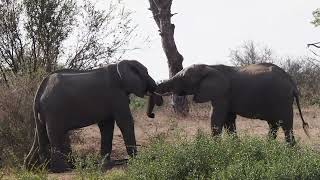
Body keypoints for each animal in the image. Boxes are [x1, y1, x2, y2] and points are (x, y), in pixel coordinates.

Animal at [24, 59, 162, 172]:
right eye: (146, 73)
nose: (152, 115)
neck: (119, 66)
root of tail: (40, 90)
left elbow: (107, 125)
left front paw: (106, 164)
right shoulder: (116, 94)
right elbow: (124, 121)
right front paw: (136, 161)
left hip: (45, 113)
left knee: (42, 134)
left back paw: (38, 168)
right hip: (54, 109)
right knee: (55, 134)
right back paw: (61, 170)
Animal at [150, 62, 310, 144]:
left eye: (183, 78)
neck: (209, 66)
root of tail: (292, 82)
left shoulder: (222, 94)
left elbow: (217, 117)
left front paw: (214, 149)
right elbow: (228, 120)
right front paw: (235, 147)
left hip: (282, 99)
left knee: (285, 124)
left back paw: (289, 151)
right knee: (274, 124)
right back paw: (269, 147)